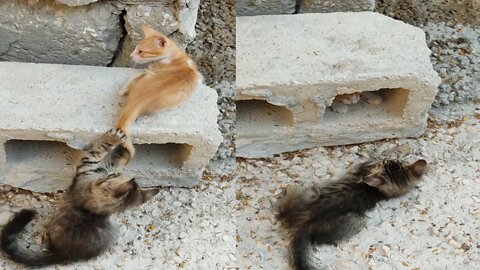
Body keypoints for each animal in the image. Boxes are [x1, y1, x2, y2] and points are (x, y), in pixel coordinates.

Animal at [0, 129, 160, 268]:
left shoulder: (87, 167)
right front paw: (126, 150)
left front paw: (114, 138)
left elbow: (99, 150)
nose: (110, 174)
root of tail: (61, 254)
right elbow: (116, 162)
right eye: (113, 176)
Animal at [116, 24, 202, 160]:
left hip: (145, 75)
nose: (130, 56)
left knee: (124, 90)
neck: (175, 56)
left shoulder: (150, 69)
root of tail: (139, 99)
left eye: (141, 51)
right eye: (135, 48)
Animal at [278, 158, 428, 270]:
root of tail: (302, 224)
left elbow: (365, 162)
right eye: (392, 161)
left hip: (352, 217)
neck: (378, 191)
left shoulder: (360, 168)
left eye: (385, 162)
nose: (387, 159)